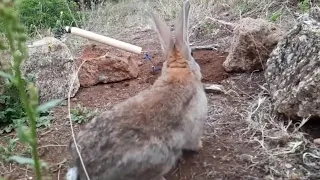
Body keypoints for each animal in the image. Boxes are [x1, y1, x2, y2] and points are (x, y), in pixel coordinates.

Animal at [66, 0, 209, 179]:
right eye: (193, 54)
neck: (178, 71)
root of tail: (82, 167)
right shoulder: (195, 125)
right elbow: (193, 141)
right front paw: (200, 145)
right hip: (159, 157)